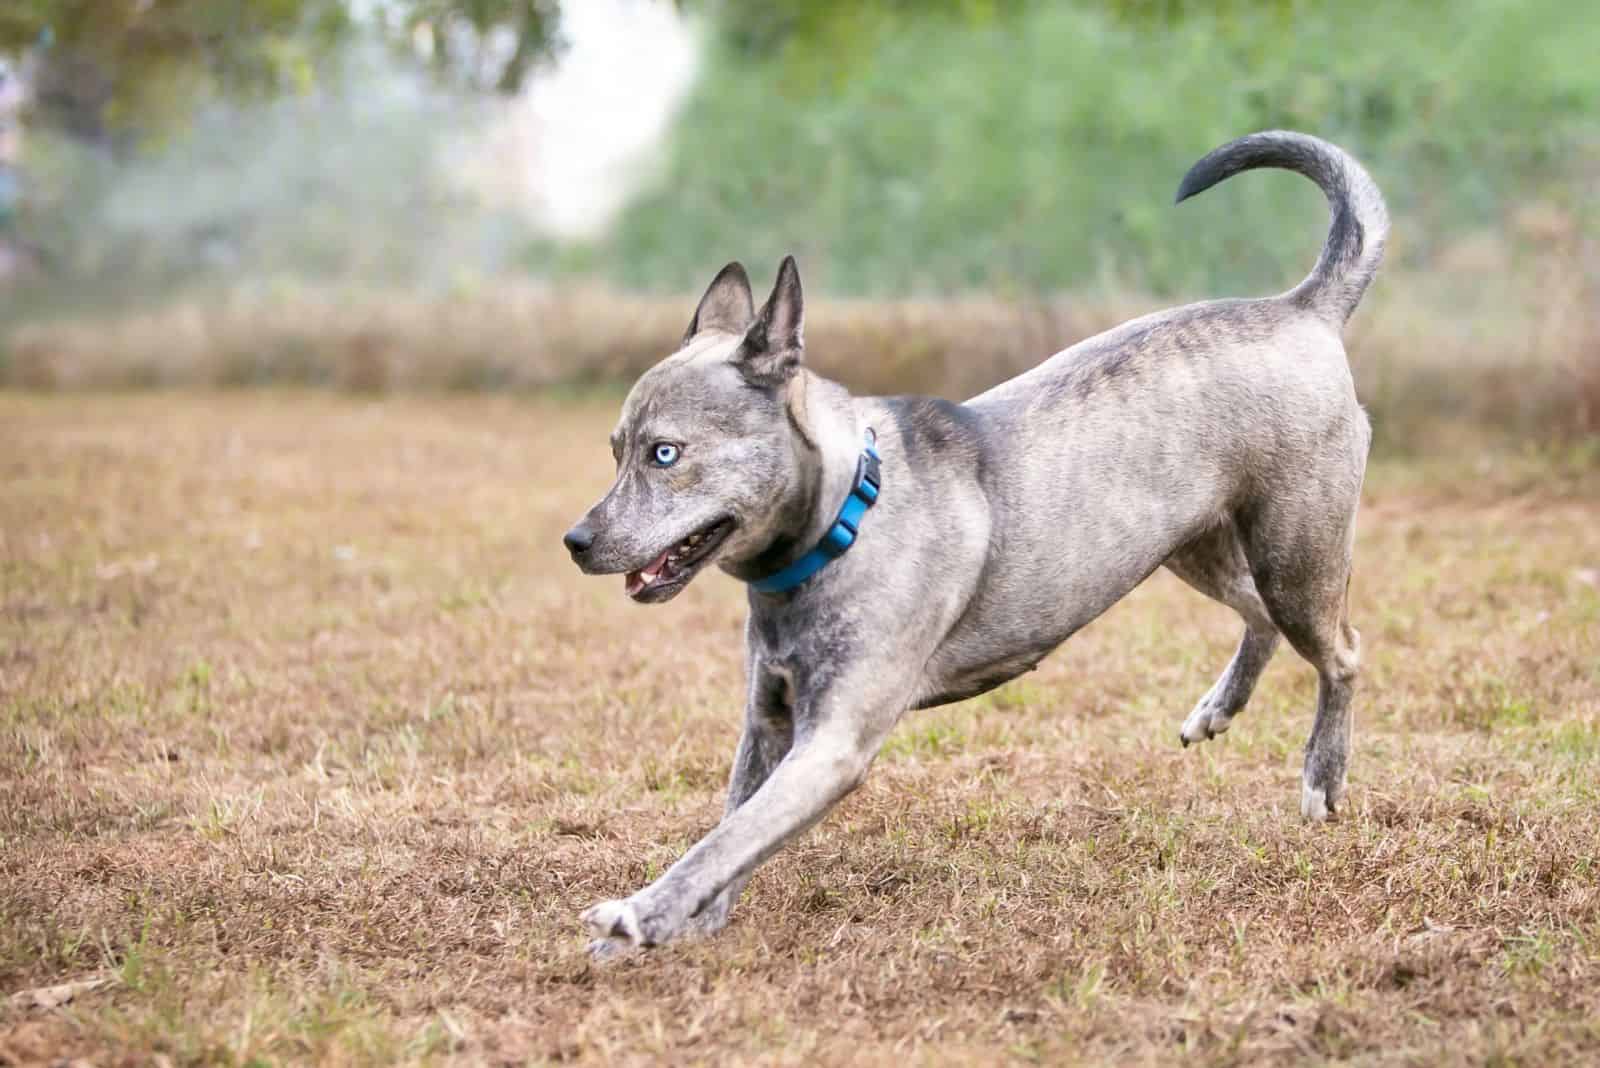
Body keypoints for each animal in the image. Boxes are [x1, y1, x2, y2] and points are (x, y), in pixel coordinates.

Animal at [563, 129, 1388, 952]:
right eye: (615, 449)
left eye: (665, 453)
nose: (577, 541)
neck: (844, 518)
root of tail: (1301, 310)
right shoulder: (769, 719)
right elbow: (735, 821)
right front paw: (688, 921)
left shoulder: (832, 743)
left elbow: (725, 840)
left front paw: (640, 913)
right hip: (1191, 545)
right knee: (1258, 619)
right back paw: (1218, 707)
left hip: (1294, 552)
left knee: (1341, 651)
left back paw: (1322, 776)